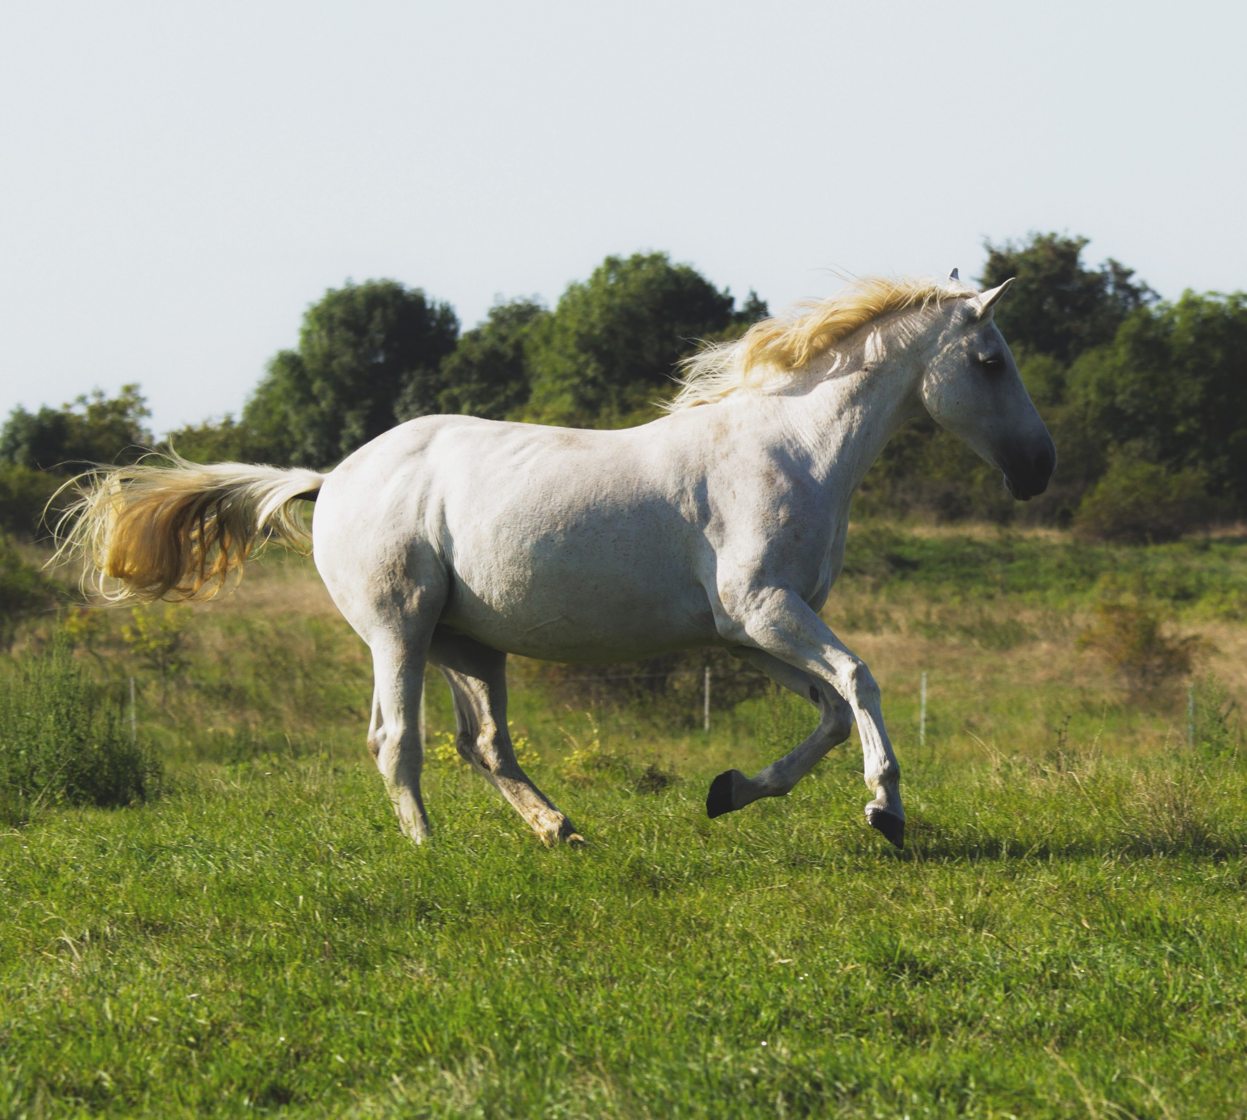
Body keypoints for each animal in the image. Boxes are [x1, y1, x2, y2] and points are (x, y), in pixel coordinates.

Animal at [57, 272, 1055, 851]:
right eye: (989, 359)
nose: (1038, 469)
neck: (789, 449)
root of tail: (331, 477)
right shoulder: (764, 610)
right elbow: (858, 680)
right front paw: (885, 813)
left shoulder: (752, 632)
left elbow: (832, 711)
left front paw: (729, 791)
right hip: (399, 630)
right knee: (396, 740)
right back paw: (429, 851)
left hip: (469, 645)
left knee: (485, 744)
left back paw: (560, 831)